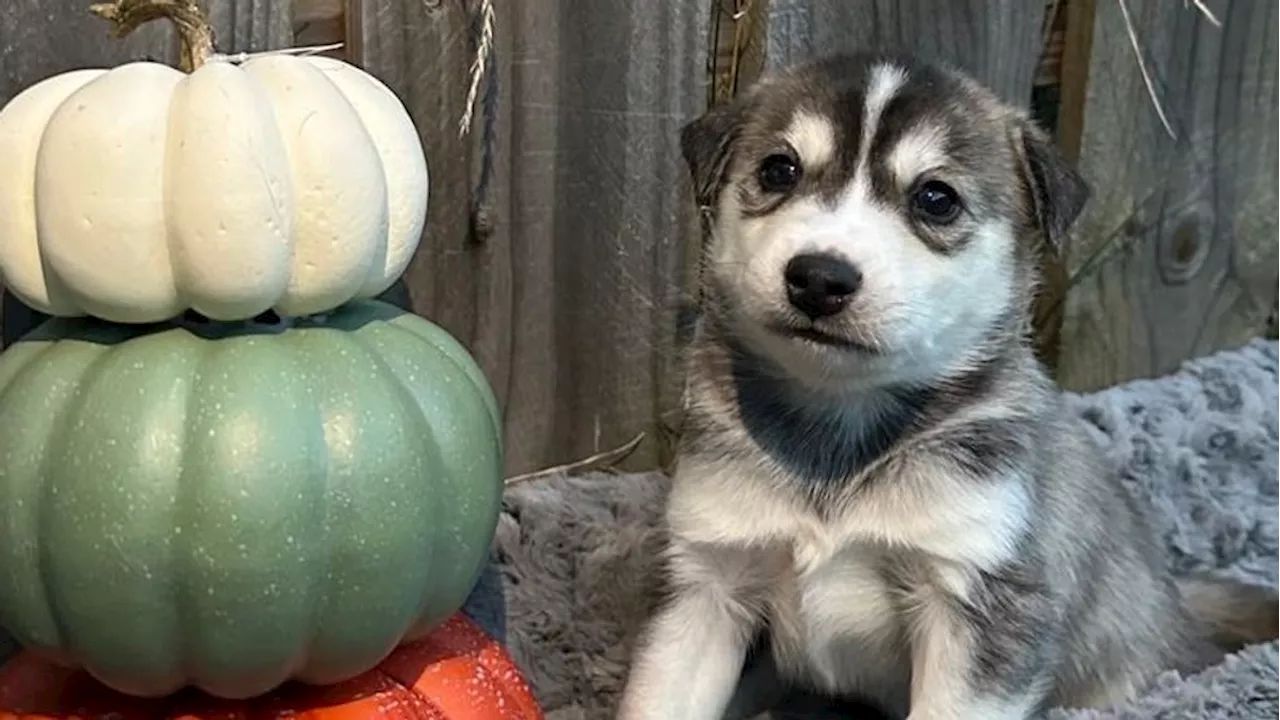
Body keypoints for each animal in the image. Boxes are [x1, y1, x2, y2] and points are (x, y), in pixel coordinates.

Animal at [614, 51, 1274, 717]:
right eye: (779, 169)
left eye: (936, 198)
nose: (819, 278)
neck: (838, 432)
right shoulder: (705, 581)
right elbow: (662, 697)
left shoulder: (981, 596)